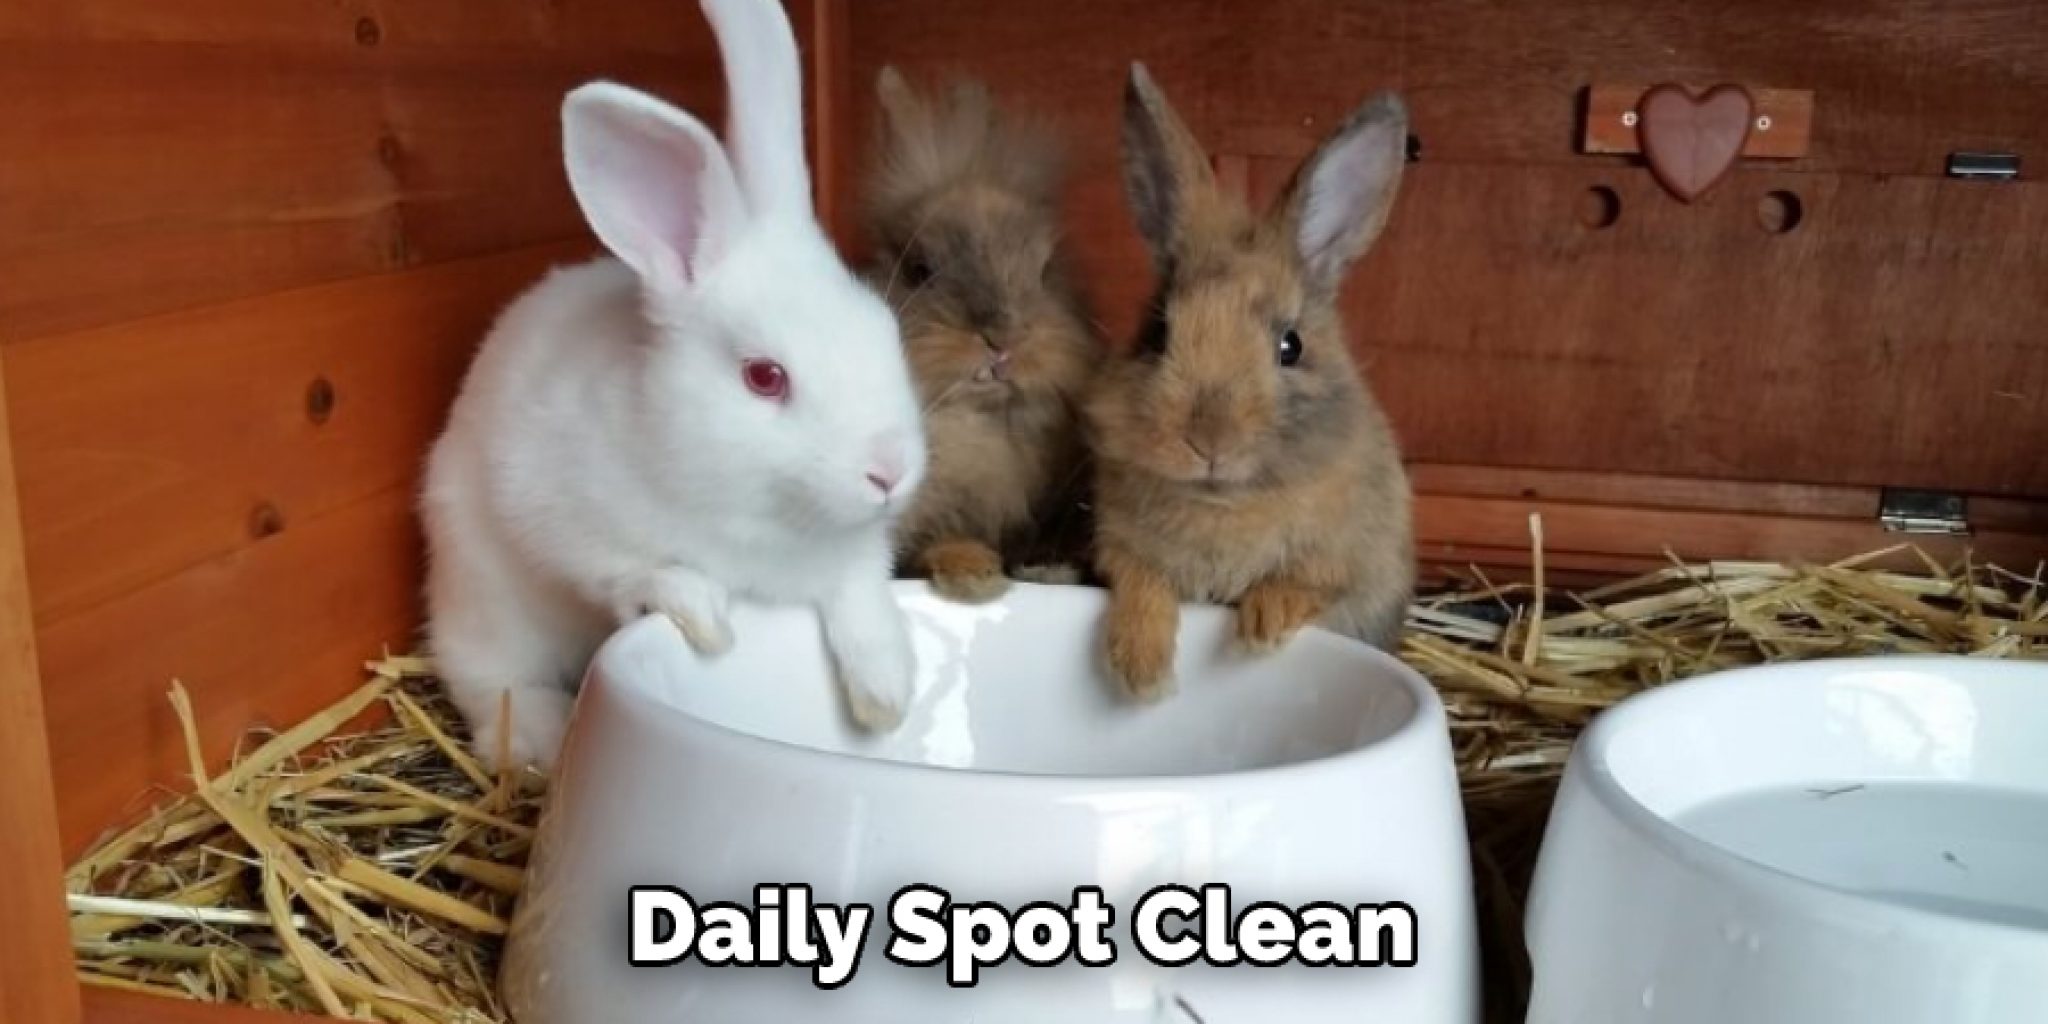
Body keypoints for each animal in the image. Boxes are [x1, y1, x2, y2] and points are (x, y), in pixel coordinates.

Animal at [419, 0, 928, 771]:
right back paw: (539, 741)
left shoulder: (854, 559)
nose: (889, 473)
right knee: (491, 682)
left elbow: (861, 599)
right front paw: (702, 613)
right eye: (764, 377)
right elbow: (631, 570)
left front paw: (886, 693)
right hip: (481, 590)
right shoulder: (559, 513)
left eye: (887, 332)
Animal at [1086, 62, 1416, 702]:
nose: (1207, 441)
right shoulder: (1121, 550)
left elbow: (1310, 581)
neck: (1227, 501)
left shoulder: (1351, 561)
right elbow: (1141, 585)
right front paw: (1143, 672)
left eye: (1291, 345)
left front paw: (1264, 624)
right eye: (1158, 332)